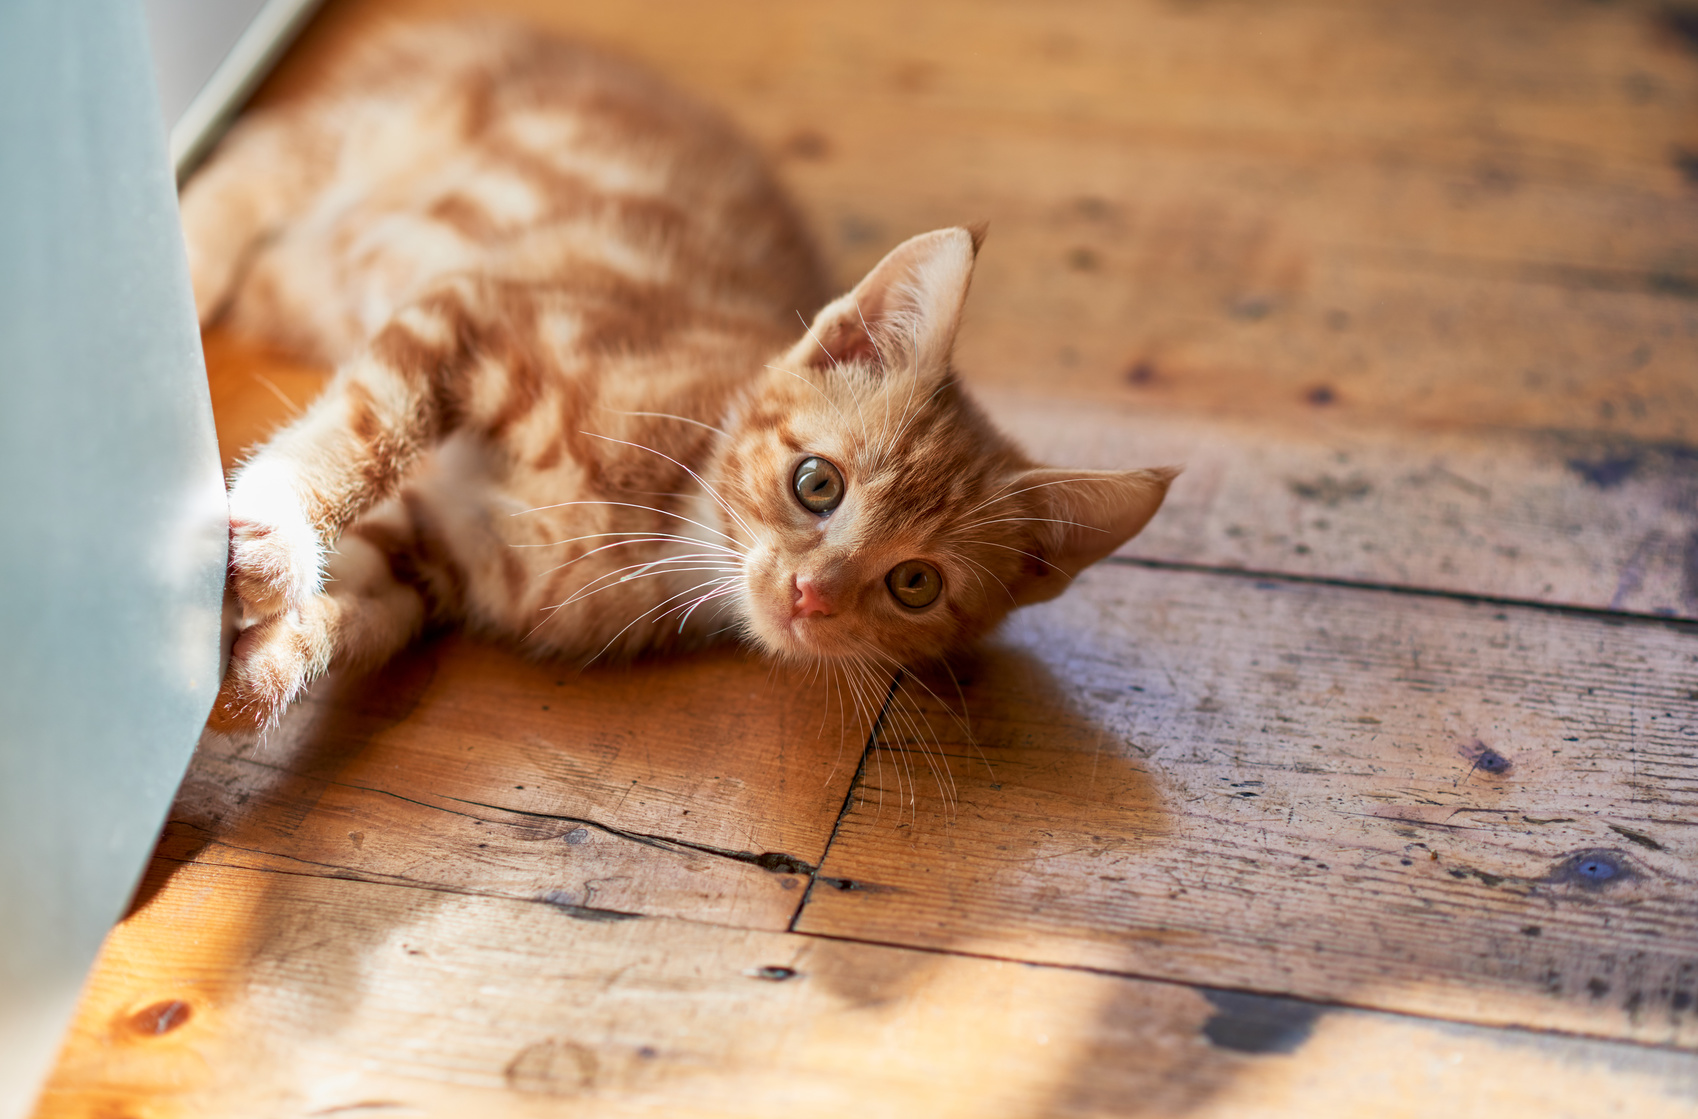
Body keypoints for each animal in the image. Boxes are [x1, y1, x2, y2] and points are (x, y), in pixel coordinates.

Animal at [185, 21, 1168, 736]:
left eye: (915, 585)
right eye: (817, 483)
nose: (812, 592)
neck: (667, 522)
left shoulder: (436, 551)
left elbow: (353, 611)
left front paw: (248, 678)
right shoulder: (478, 311)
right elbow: (364, 427)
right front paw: (276, 529)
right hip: (358, 138)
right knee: (241, 175)